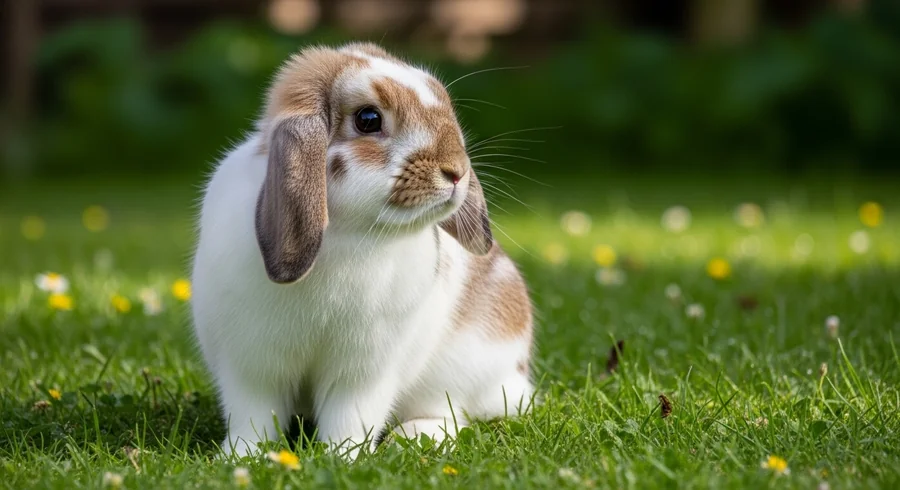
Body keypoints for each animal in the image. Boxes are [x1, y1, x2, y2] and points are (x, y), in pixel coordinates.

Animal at [191, 42, 535, 459]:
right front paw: (240, 456)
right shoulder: (252, 365)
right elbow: (253, 418)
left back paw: (414, 436)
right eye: (368, 119)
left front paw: (341, 457)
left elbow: (349, 417)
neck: (346, 231)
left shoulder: (363, 371)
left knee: (450, 414)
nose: (456, 171)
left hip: (456, 373)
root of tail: (517, 378)